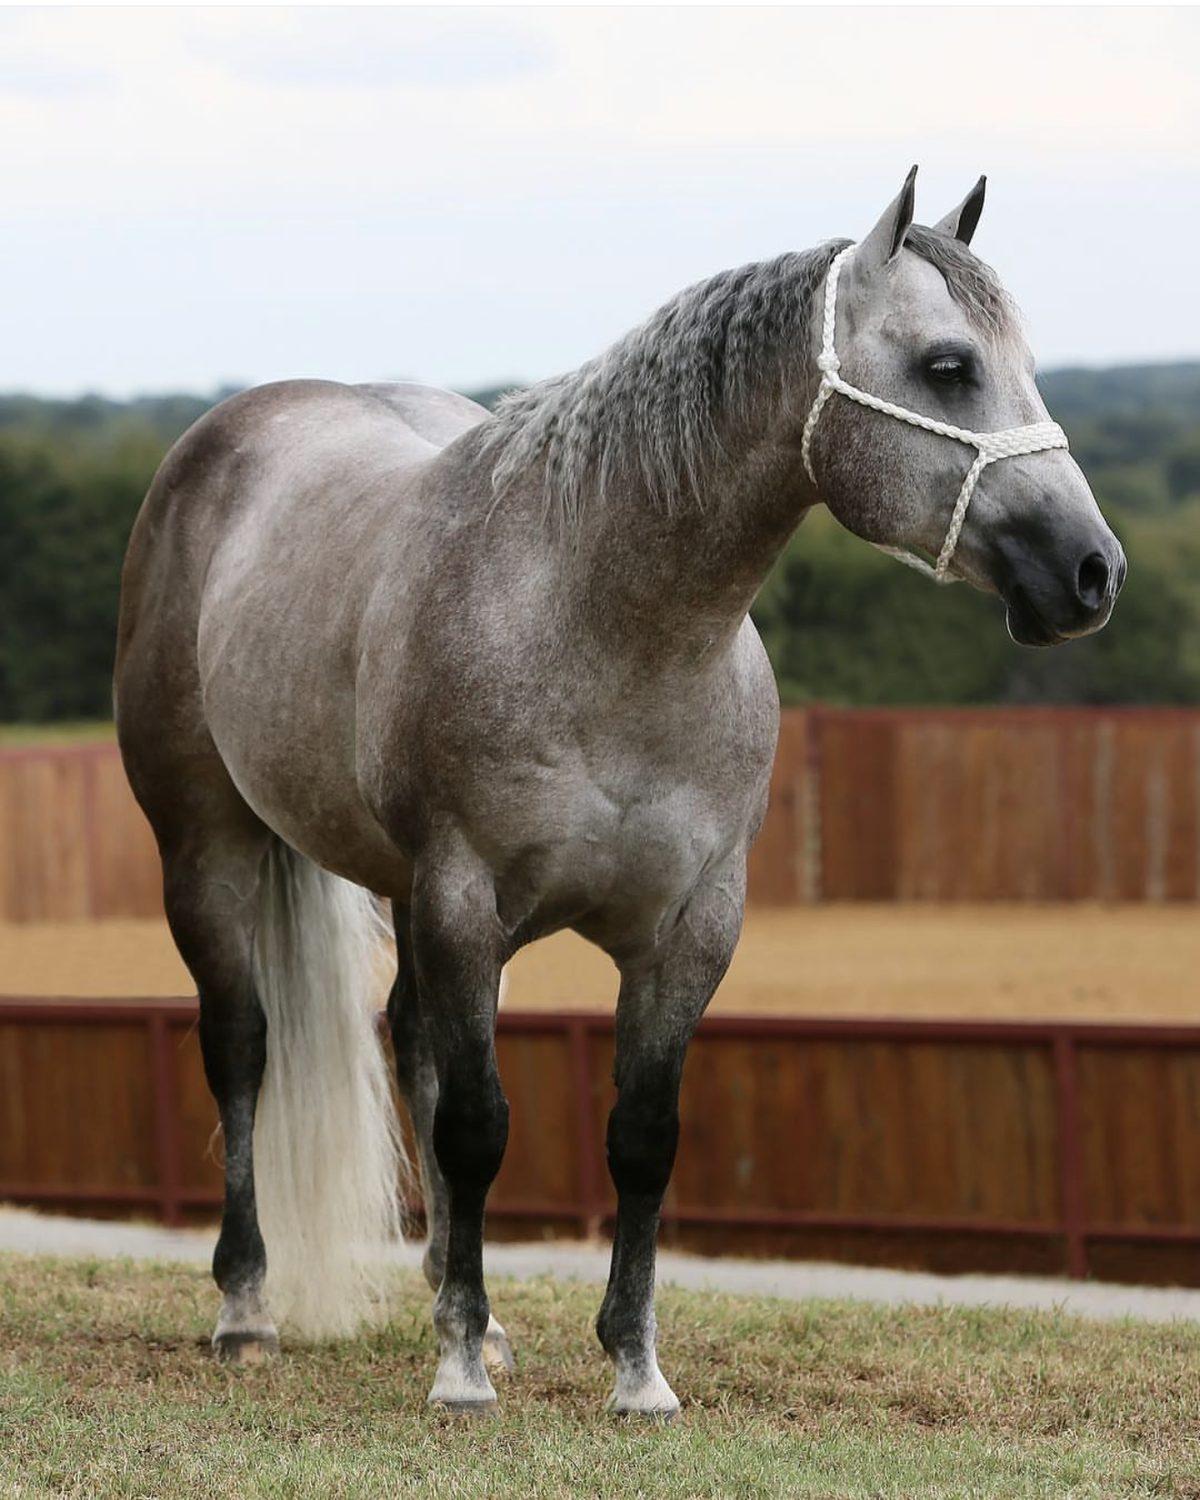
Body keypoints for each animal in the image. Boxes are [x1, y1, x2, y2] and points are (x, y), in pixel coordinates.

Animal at [115, 167, 1124, 1416]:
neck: (601, 626)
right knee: (243, 1046)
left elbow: (639, 1135)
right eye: (948, 366)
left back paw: (467, 1308)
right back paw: (250, 1309)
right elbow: (479, 1126)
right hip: (208, 849)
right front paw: (459, 1374)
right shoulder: (464, 899)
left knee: (409, 1044)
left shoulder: (687, 928)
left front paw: (633, 1372)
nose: (1091, 571)